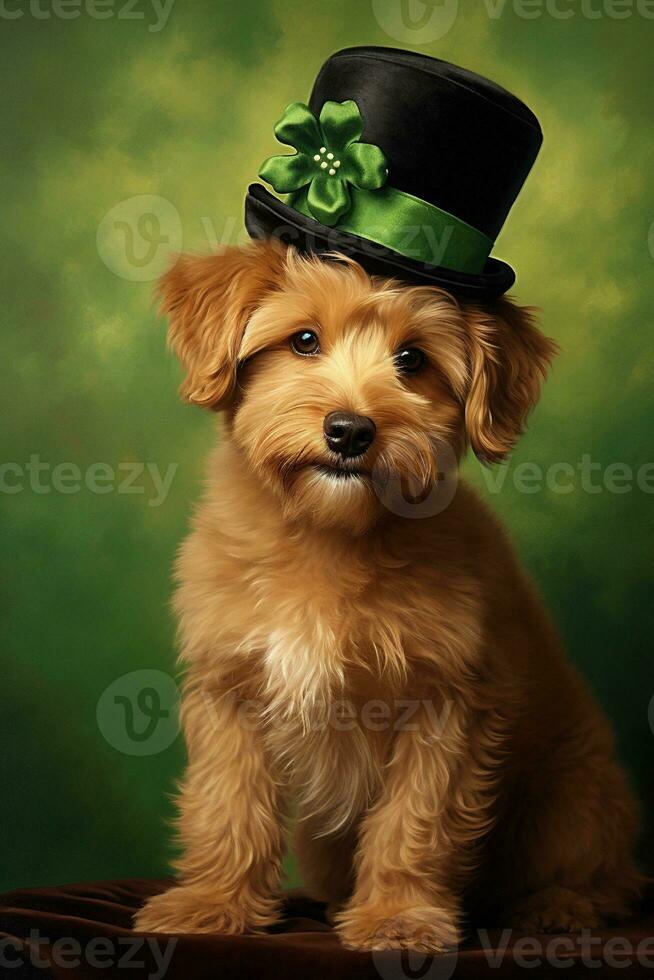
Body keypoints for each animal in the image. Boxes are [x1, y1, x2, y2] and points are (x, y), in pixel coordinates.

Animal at [135, 241, 644, 952]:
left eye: (413, 359)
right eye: (304, 340)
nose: (350, 431)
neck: (329, 537)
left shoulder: (446, 706)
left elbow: (413, 824)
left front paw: (398, 917)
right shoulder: (229, 689)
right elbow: (227, 806)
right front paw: (213, 904)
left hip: (573, 803)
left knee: (607, 880)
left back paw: (557, 908)